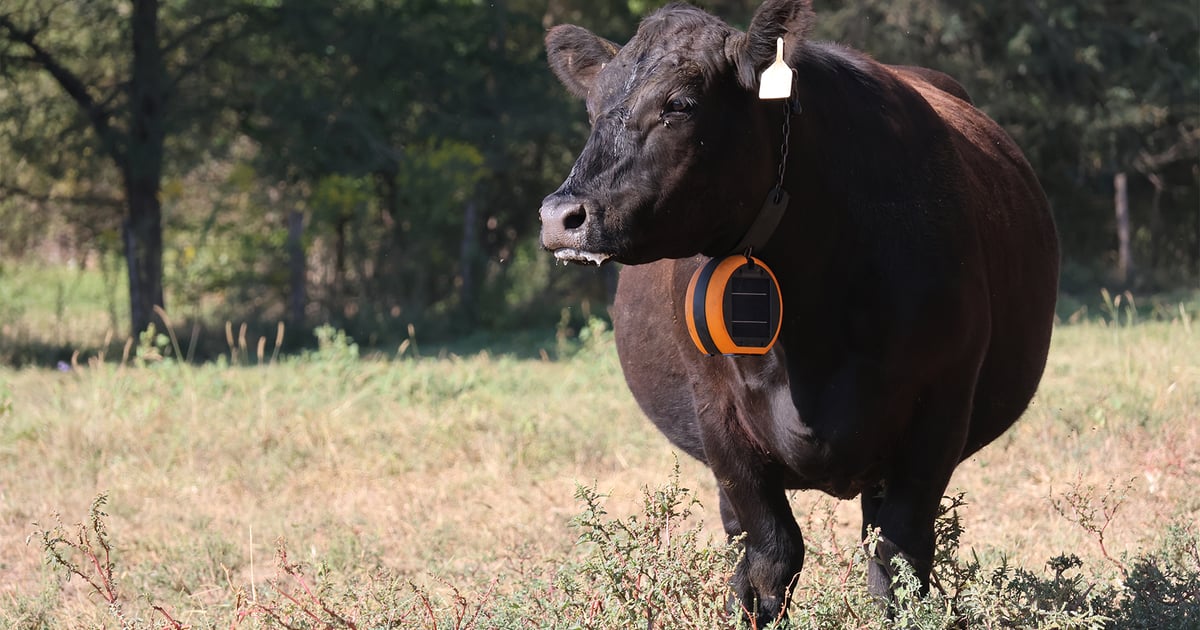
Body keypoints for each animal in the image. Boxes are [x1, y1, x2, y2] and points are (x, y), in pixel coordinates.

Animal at [538, 0, 1059, 623]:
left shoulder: (943, 403)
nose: (560, 216)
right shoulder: (717, 413)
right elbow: (770, 556)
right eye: (593, 109)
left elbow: (898, 561)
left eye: (680, 105)